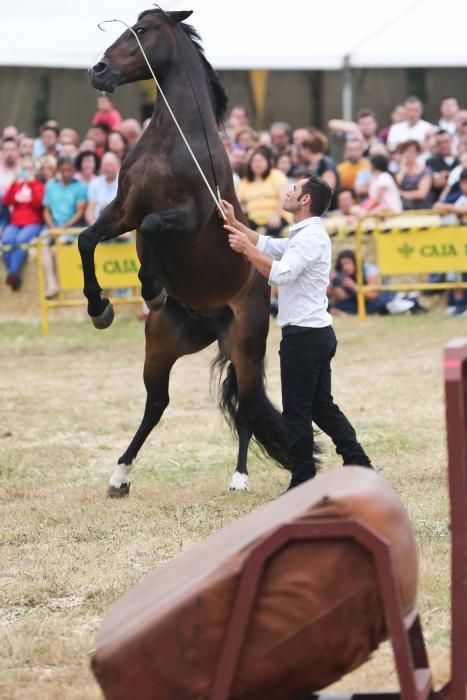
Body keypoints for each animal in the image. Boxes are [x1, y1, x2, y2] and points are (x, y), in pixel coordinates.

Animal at [81, 8, 292, 494]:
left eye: (142, 31)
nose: (98, 71)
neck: (173, 140)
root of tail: (210, 321)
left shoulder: (185, 218)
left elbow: (153, 229)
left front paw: (152, 286)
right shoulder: (122, 212)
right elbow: (87, 239)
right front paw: (100, 307)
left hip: (246, 346)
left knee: (248, 408)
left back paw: (239, 479)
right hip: (160, 346)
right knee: (156, 405)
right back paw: (119, 475)